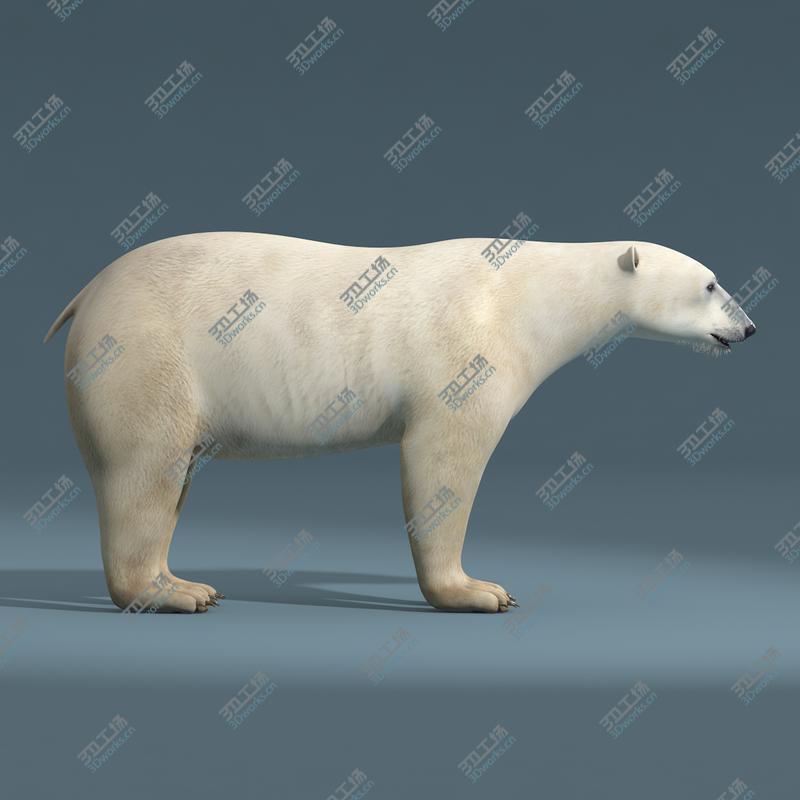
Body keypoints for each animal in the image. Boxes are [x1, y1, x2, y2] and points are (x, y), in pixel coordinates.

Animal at [44, 233, 756, 613]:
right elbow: (444, 463)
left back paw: (182, 580)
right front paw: (479, 590)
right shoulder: (469, 352)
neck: (530, 296)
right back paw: (172, 594)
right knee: (144, 468)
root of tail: (87, 291)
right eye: (712, 285)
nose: (749, 327)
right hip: (146, 355)